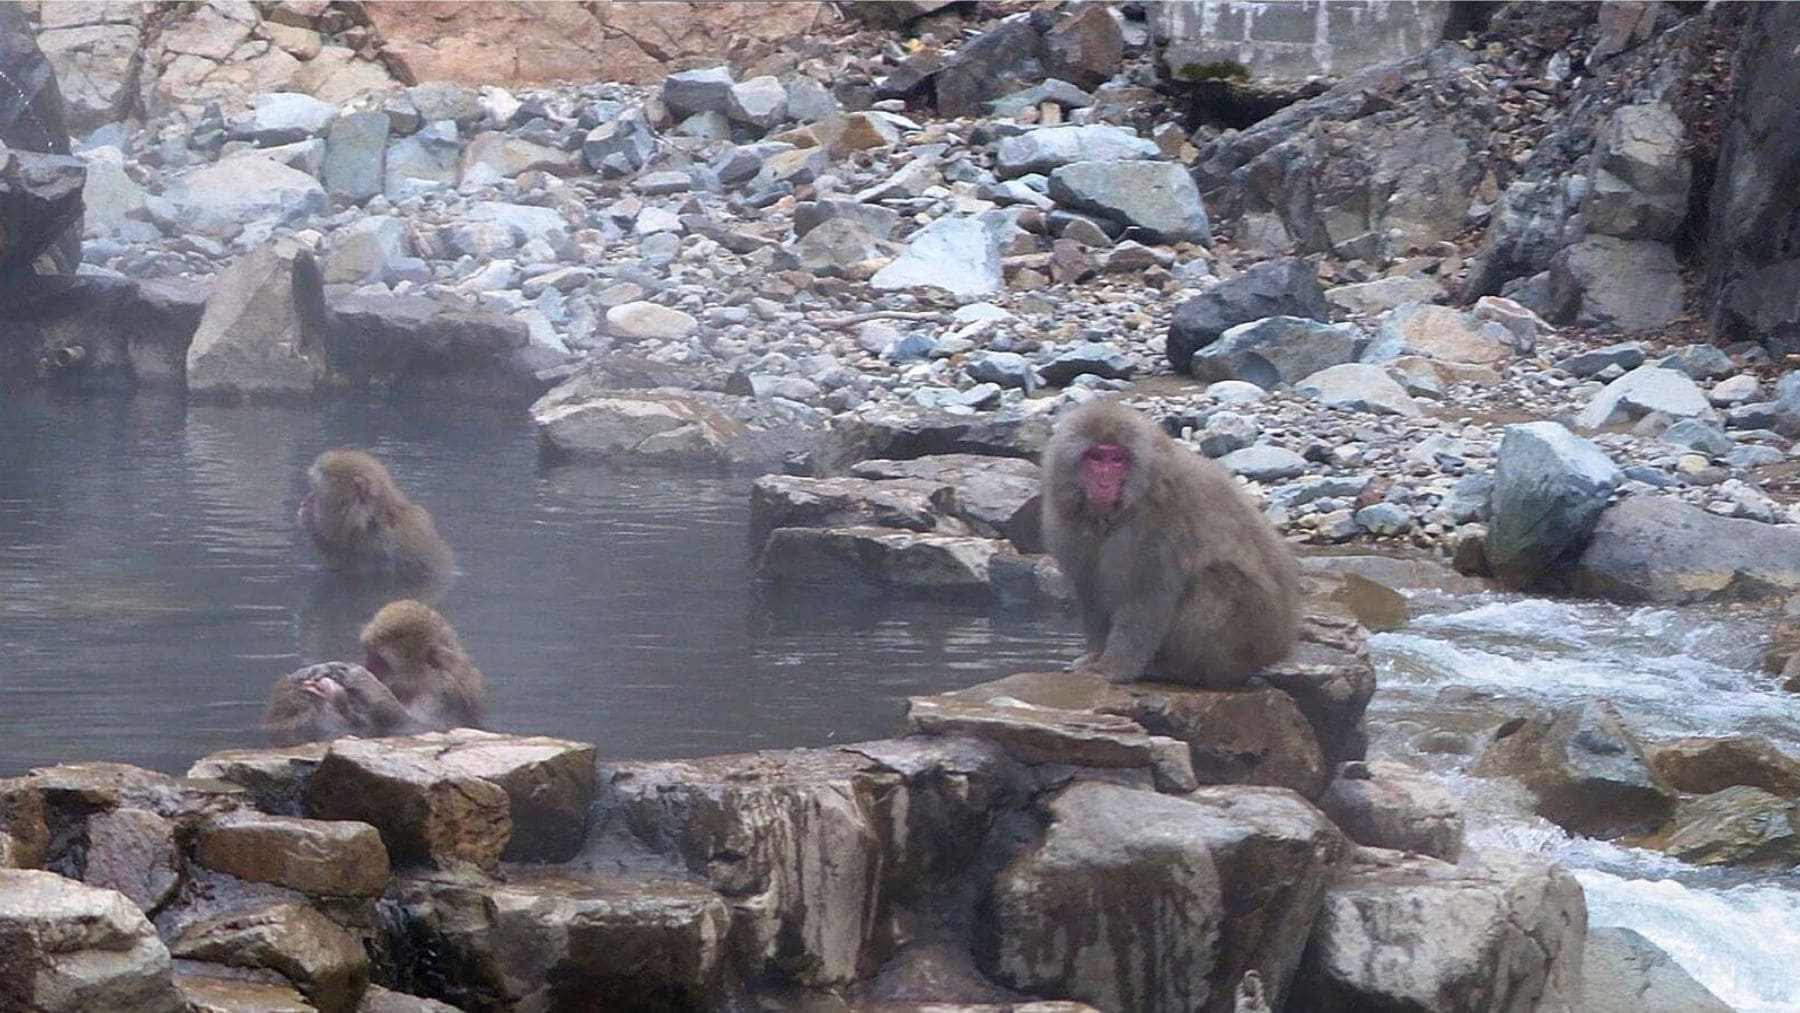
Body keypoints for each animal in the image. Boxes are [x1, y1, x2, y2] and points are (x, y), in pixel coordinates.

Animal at [1041, 400, 1300, 689]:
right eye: (1096, 458)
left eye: (1117, 460)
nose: (1104, 482)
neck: (1124, 506)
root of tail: (1278, 646)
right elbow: (1089, 588)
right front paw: (1094, 655)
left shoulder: (1158, 522)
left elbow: (1147, 596)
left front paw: (1111, 668)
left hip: (1248, 637)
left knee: (1216, 580)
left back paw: (1177, 671)